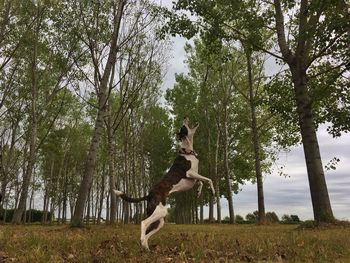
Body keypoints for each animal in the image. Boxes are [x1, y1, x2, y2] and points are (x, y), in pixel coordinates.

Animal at [113, 118, 215, 252]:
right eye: (183, 127)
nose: (185, 118)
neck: (187, 151)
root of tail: (149, 195)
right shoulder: (190, 173)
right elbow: (209, 179)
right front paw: (213, 191)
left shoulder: (193, 177)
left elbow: (201, 181)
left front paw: (198, 191)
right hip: (160, 213)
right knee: (143, 223)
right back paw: (143, 243)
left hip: (159, 221)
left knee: (147, 233)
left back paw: (146, 248)